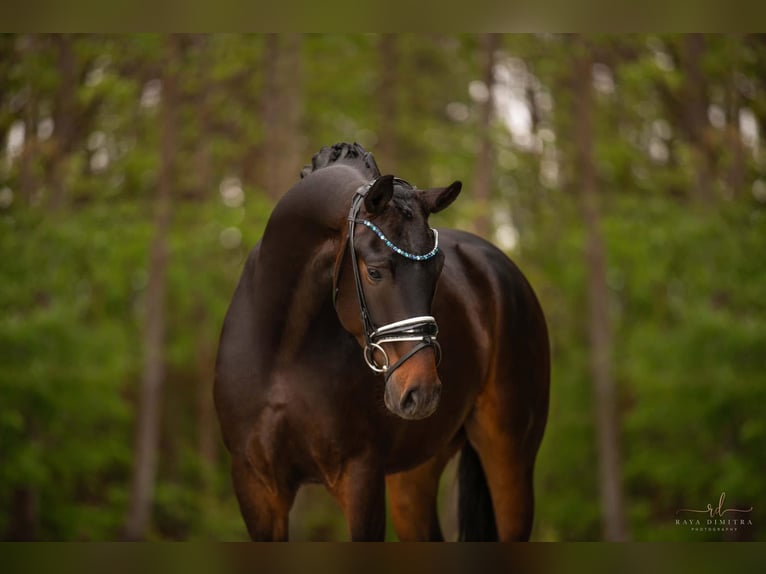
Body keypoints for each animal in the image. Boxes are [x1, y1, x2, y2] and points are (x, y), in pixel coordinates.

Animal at [214, 144, 552, 544]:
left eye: (438, 268)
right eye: (374, 271)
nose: (422, 392)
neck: (283, 353)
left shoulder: (361, 476)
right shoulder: (256, 486)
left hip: (509, 459)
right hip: (414, 474)